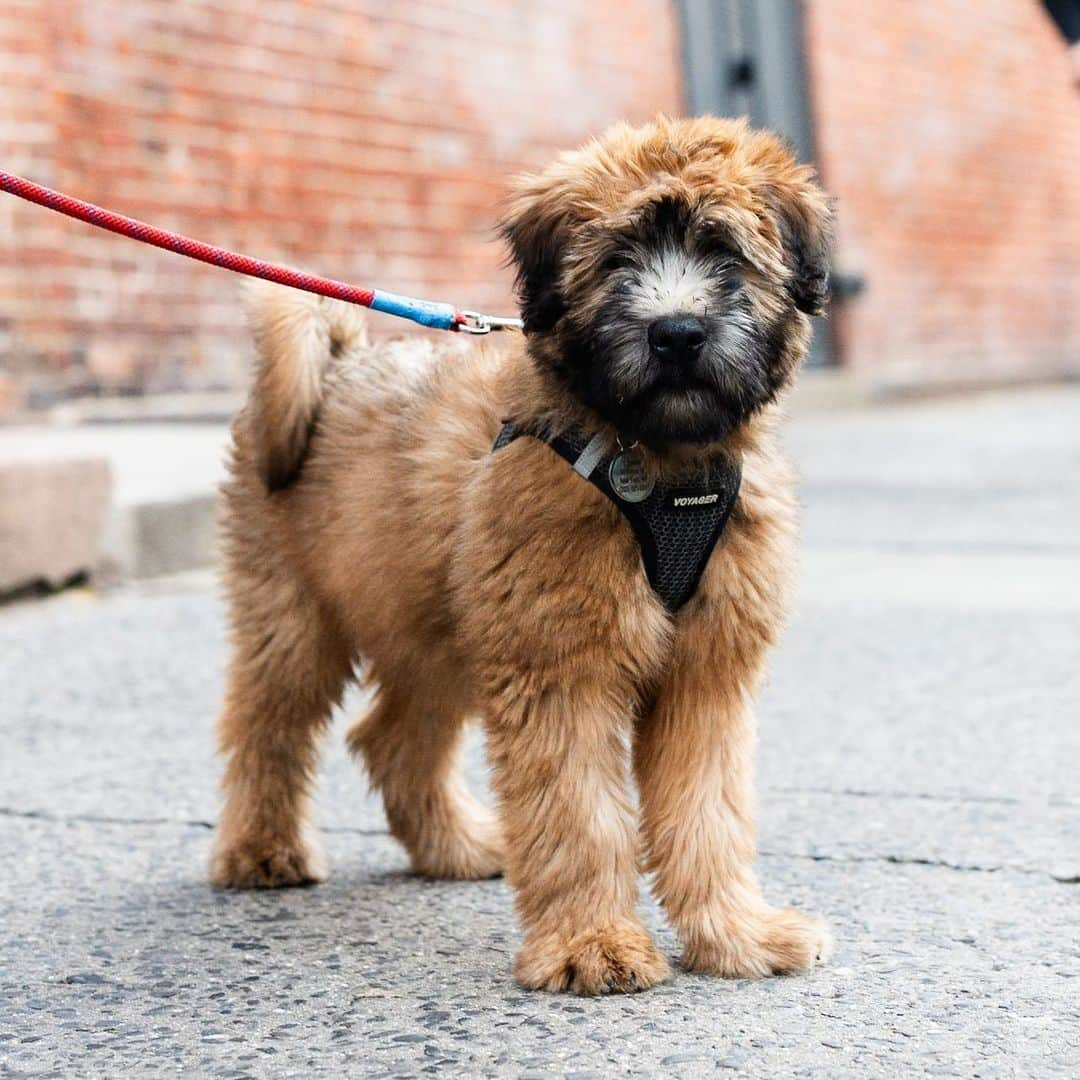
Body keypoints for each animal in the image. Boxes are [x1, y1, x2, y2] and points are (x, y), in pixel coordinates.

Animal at [210, 118, 833, 993]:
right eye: (617, 258)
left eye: (724, 252)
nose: (677, 333)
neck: (656, 463)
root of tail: (337, 363)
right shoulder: (560, 665)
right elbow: (578, 813)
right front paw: (590, 945)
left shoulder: (706, 674)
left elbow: (708, 811)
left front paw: (737, 933)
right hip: (295, 615)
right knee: (267, 725)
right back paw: (259, 851)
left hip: (439, 624)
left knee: (394, 739)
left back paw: (455, 846)